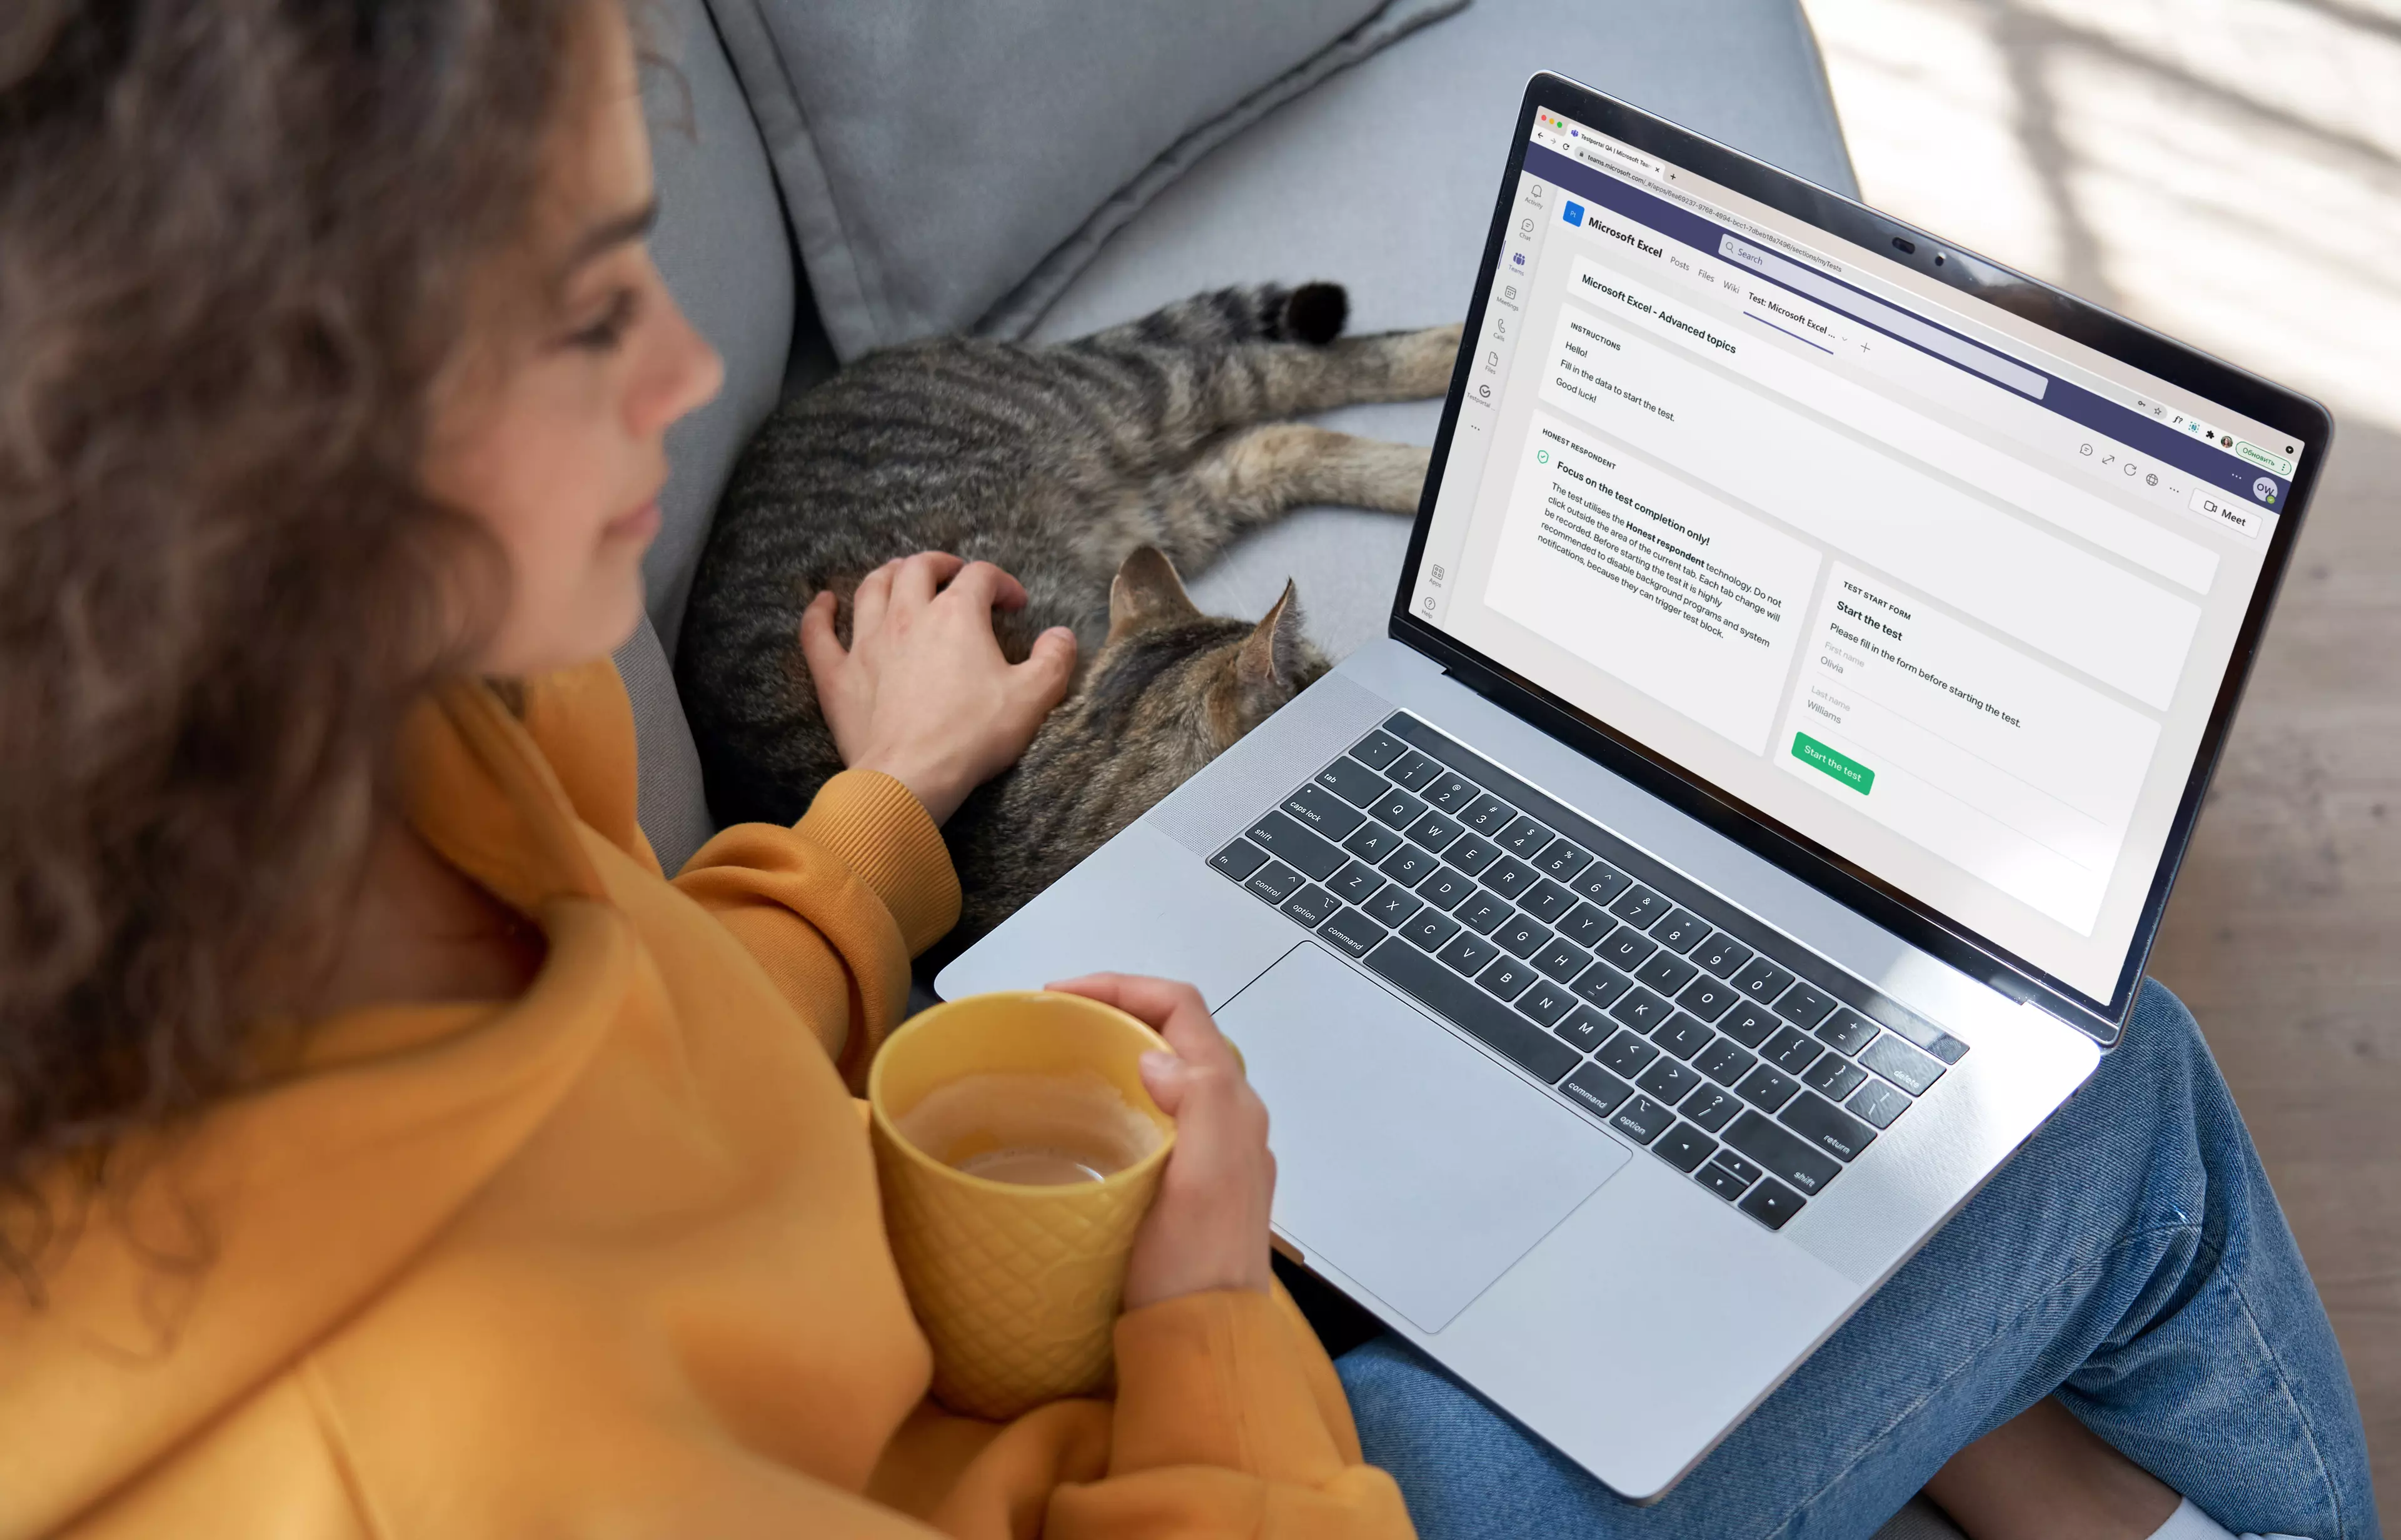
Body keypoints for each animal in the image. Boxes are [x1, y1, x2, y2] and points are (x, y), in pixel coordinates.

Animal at [682, 281, 1459, 942]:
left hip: (1137, 412)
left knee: (1284, 375)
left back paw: (1446, 375)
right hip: (1166, 494)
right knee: (1278, 432)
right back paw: (1423, 461)